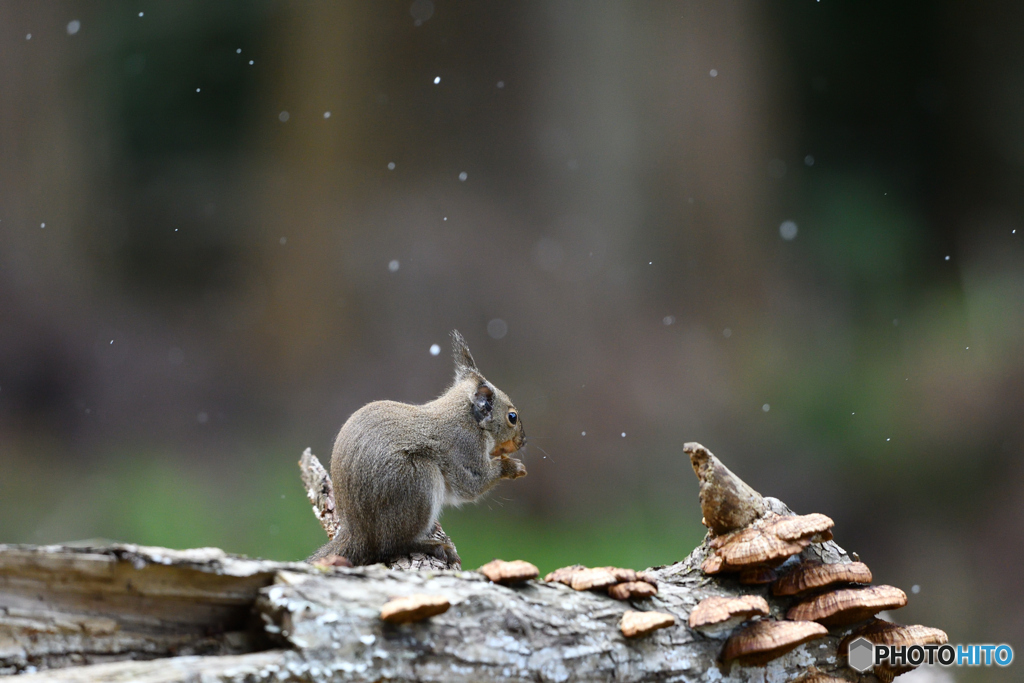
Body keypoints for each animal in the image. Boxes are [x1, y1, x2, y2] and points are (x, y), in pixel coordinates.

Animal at [311, 331, 528, 565]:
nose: (523, 441)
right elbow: (471, 485)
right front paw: (513, 467)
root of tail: (358, 533)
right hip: (417, 481)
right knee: (392, 545)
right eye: (512, 417)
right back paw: (431, 546)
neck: (467, 418)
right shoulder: (464, 447)